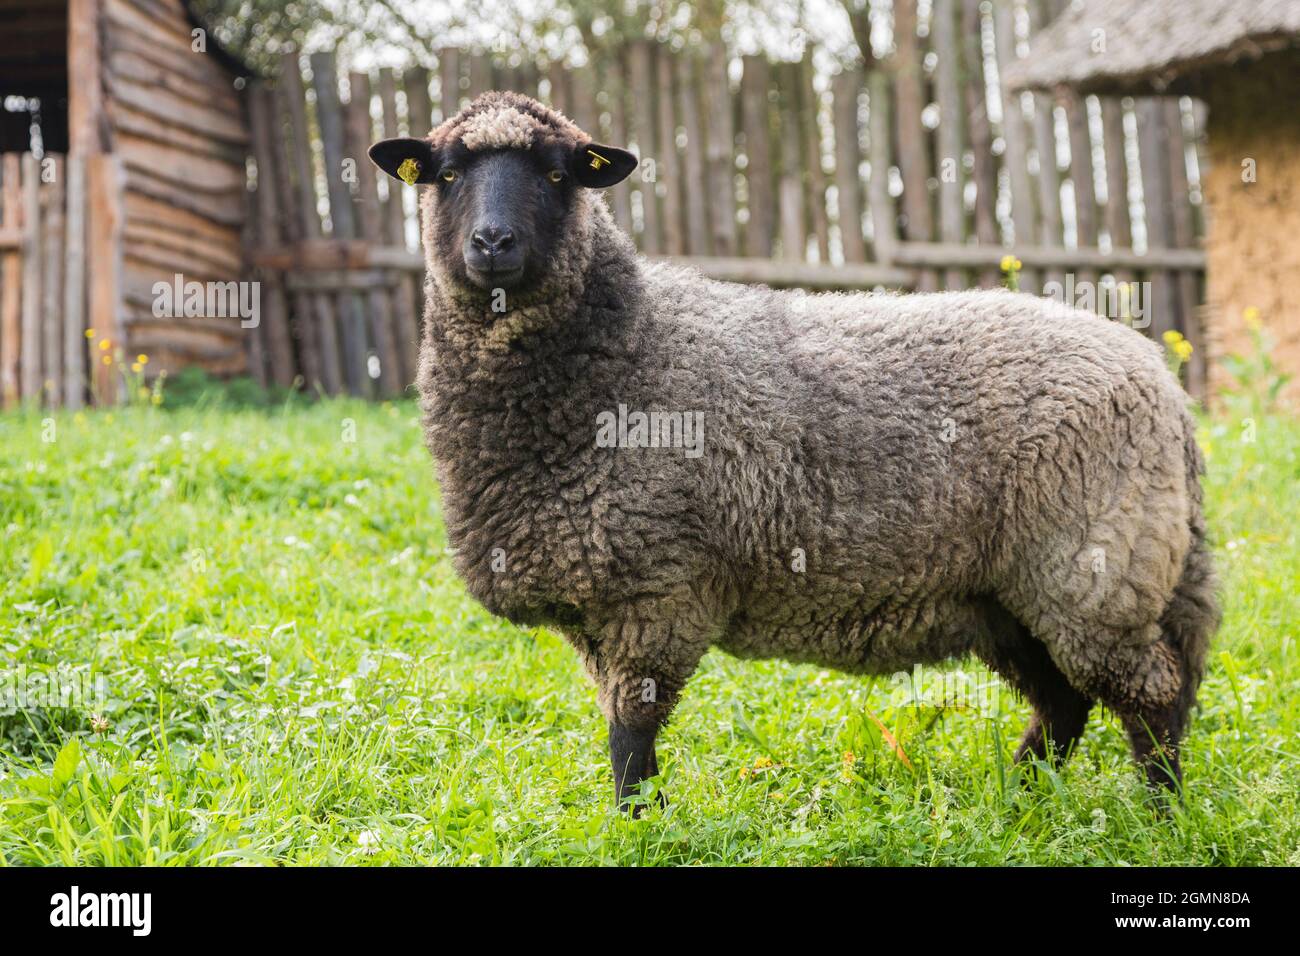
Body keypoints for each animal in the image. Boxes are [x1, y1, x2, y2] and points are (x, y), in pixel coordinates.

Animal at [371, 89, 1222, 811]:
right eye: (446, 174)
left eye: (558, 173)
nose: (493, 242)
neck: (627, 345)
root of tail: (1162, 384)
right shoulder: (598, 600)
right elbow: (622, 729)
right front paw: (637, 821)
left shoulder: (657, 589)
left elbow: (631, 733)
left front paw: (640, 826)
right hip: (1010, 591)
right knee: (1067, 701)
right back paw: (1022, 797)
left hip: (1093, 567)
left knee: (1149, 694)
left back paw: (1159, 814)